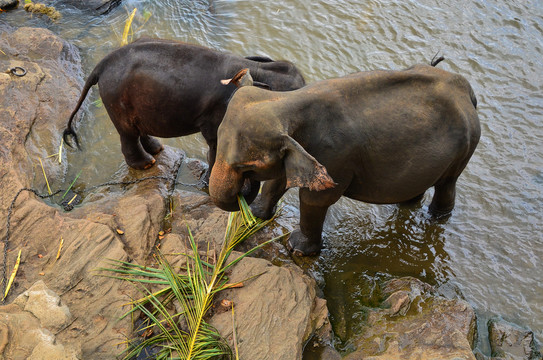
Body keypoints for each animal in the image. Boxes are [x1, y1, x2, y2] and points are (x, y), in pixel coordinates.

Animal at [62, 36, 306, 170]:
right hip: (116, 98)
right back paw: (146, 164)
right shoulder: (217, 110)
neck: (256, 68)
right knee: (127, 133)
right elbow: (216, 139)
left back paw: (157, 149)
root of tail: (101, 65)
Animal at [208, 63, 480, 258]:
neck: (288, 101)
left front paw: (296, 248)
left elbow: (314, 200)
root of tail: (465, 89)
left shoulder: (335, 156)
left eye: (247, 167)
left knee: (447, 185)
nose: (243, 191)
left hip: (464, 149)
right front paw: (256, 215)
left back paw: (436, 217)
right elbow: (279, 180)